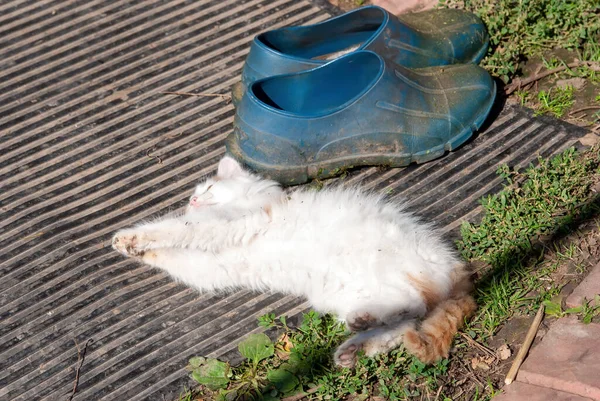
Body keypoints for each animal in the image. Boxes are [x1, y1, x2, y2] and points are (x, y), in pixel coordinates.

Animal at [112, 155, 476, 366]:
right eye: (194, 195)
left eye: (210, 188)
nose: (193, 200)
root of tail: (459, 272)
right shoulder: (213, 267)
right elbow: (175, 256)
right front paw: (137, 249)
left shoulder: (227, 224)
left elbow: (175, 227)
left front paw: (131, 238)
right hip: (342, 294)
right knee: (403, 323)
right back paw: (357, 341)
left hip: (392, 267)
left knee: (414, 304)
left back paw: (364, 328)